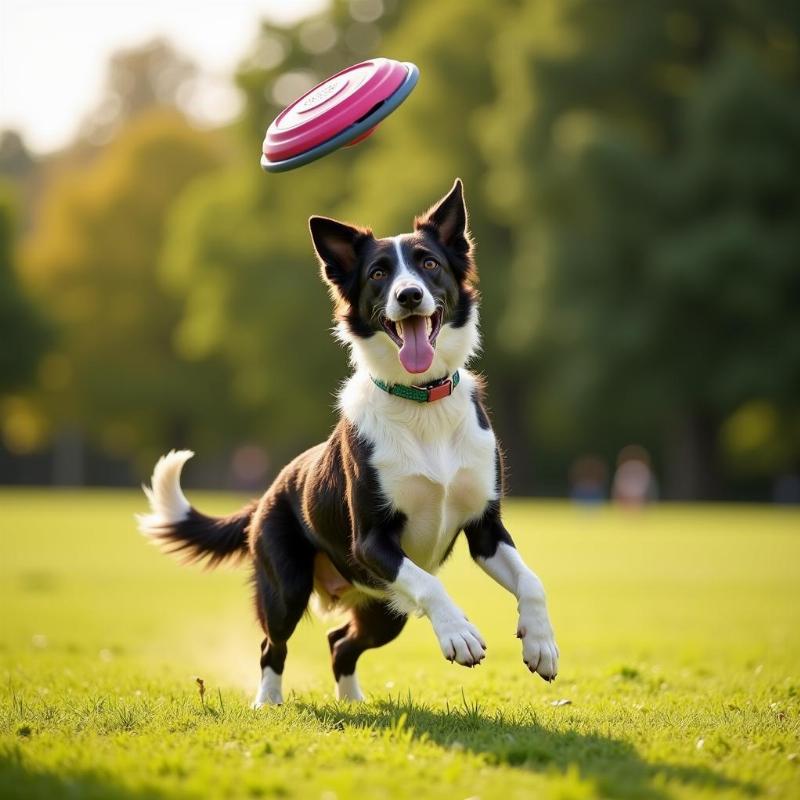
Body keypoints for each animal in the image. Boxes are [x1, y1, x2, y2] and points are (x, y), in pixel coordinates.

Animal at [138, 178, 560, 704]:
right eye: (378, 273)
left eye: (429, 263)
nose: (408, 295)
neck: (422, 402)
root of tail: (268, 494)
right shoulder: (372, 541)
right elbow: (430, 586)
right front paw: (459, 634)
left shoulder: (485, 528)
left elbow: (532, 580)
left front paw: (541, 644)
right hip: (287, 585)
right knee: (272, 644)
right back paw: (267, 702)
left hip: (383, 609)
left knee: (341, 641)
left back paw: (353, 701)